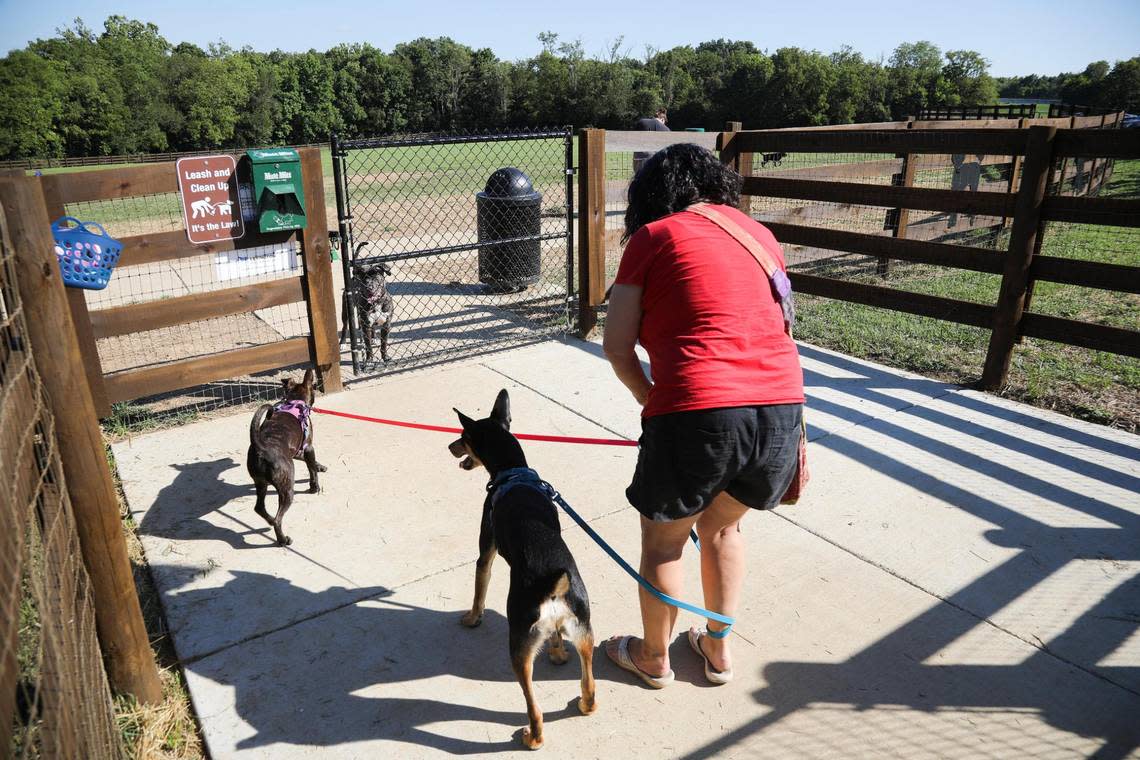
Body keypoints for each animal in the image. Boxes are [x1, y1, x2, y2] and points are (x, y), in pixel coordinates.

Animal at [245, 369, 326, 544]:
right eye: (313, 386)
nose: (317, 389)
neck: (294, 402)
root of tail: (261, 447)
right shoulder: (308, 448)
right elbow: (311, 470)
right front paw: (314, 487)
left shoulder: (296, 451)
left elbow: (310, 464)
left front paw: (320, 466)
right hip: (287, 488)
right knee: (278, 518)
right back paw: (282, 539)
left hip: (260, 483)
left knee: (259, 507)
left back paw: (268, 521)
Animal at [332, 129, 574, 376]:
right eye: (366, 278)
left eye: (378, 277)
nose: (369, 287)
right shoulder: (370, 324)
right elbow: (371, 348)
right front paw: (369, 362)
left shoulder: (387, 325)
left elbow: (383, 347)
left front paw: (385, 357)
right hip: (347, 313)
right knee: (349, 330)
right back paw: (348, 346)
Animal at [449, 389, 601, 752]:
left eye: (463, 437)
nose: (450, 446)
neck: (513, 472)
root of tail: (553, 589)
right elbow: (557, 640)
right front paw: (557, 653)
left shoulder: (485, 550)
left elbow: (479, 587)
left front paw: (472, 618)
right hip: (585, 632)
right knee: (590, 687)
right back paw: (582, 702)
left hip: (519, 647)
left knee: (535, 708)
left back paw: (532, 737)